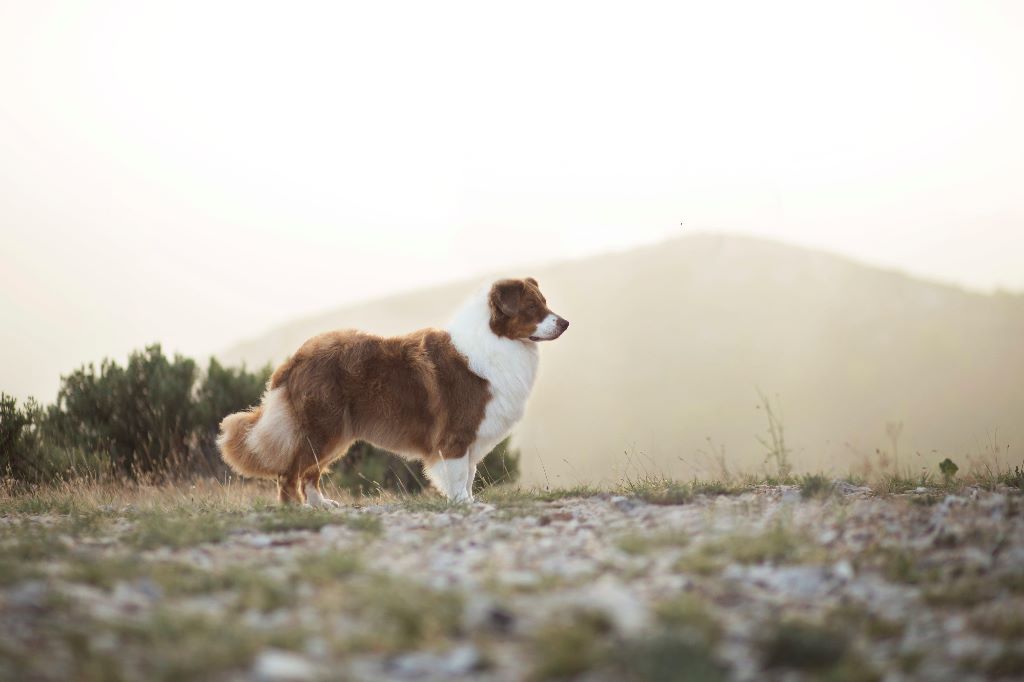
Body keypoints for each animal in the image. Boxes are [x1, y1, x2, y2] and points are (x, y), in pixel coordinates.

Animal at [217, 276, 569, 503]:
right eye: (532, 307)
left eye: (545, 303)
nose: (565, 323)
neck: (497, 339)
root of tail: (296, 358)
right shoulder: (456, 435)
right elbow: (457, 474)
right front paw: (463, 504)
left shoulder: (471, 436)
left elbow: (468, 474)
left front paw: (468, 501)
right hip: (322, 428)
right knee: (290, 473)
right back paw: (297, 510)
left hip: (336, 432)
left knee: (310, 473)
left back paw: (323, 506)